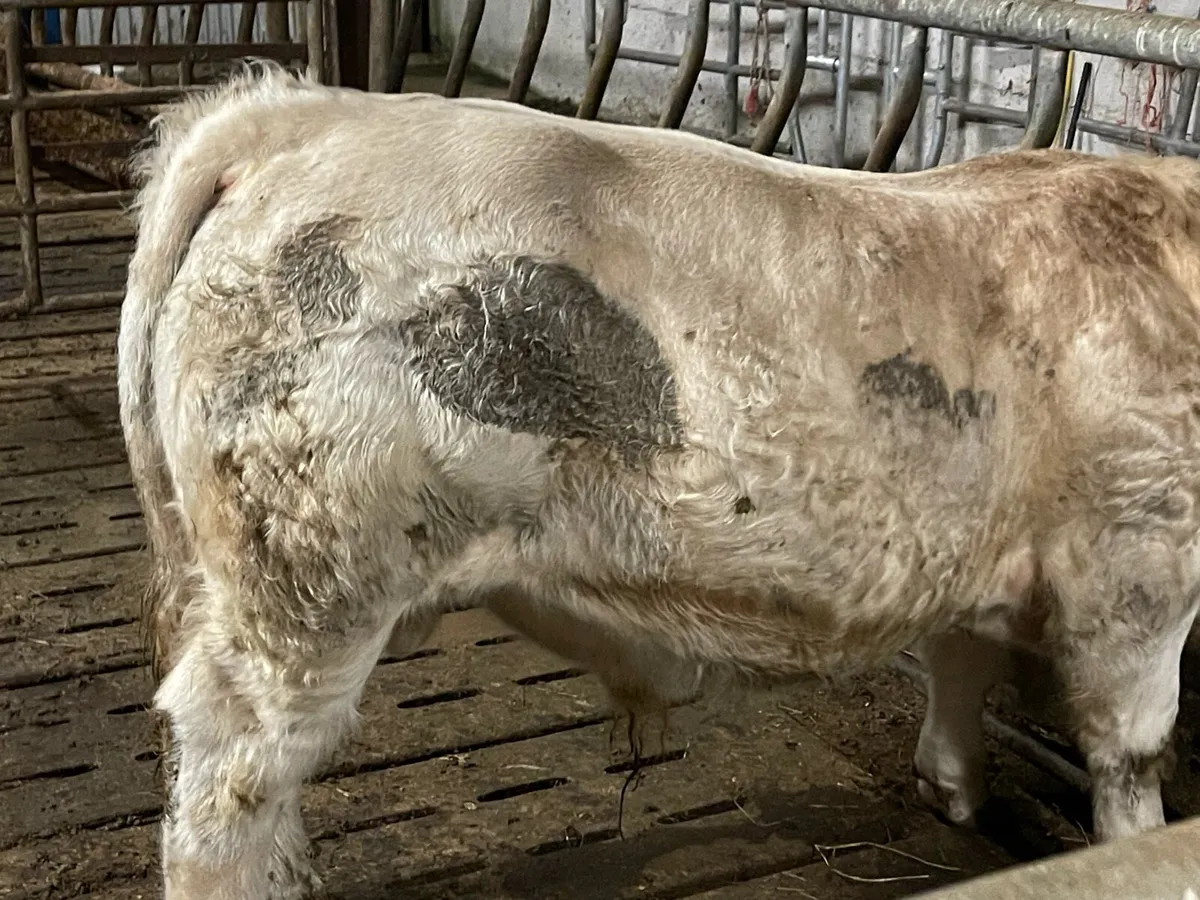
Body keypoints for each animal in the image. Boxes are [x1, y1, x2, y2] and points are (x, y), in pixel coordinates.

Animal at [118, 61, 1200, 900]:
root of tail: (298, 114)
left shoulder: (981, 542)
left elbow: (961, 661)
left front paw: (955, 790)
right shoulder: (1142, 568)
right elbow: (1132, 754)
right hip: (309, 581)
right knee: (227, 782)